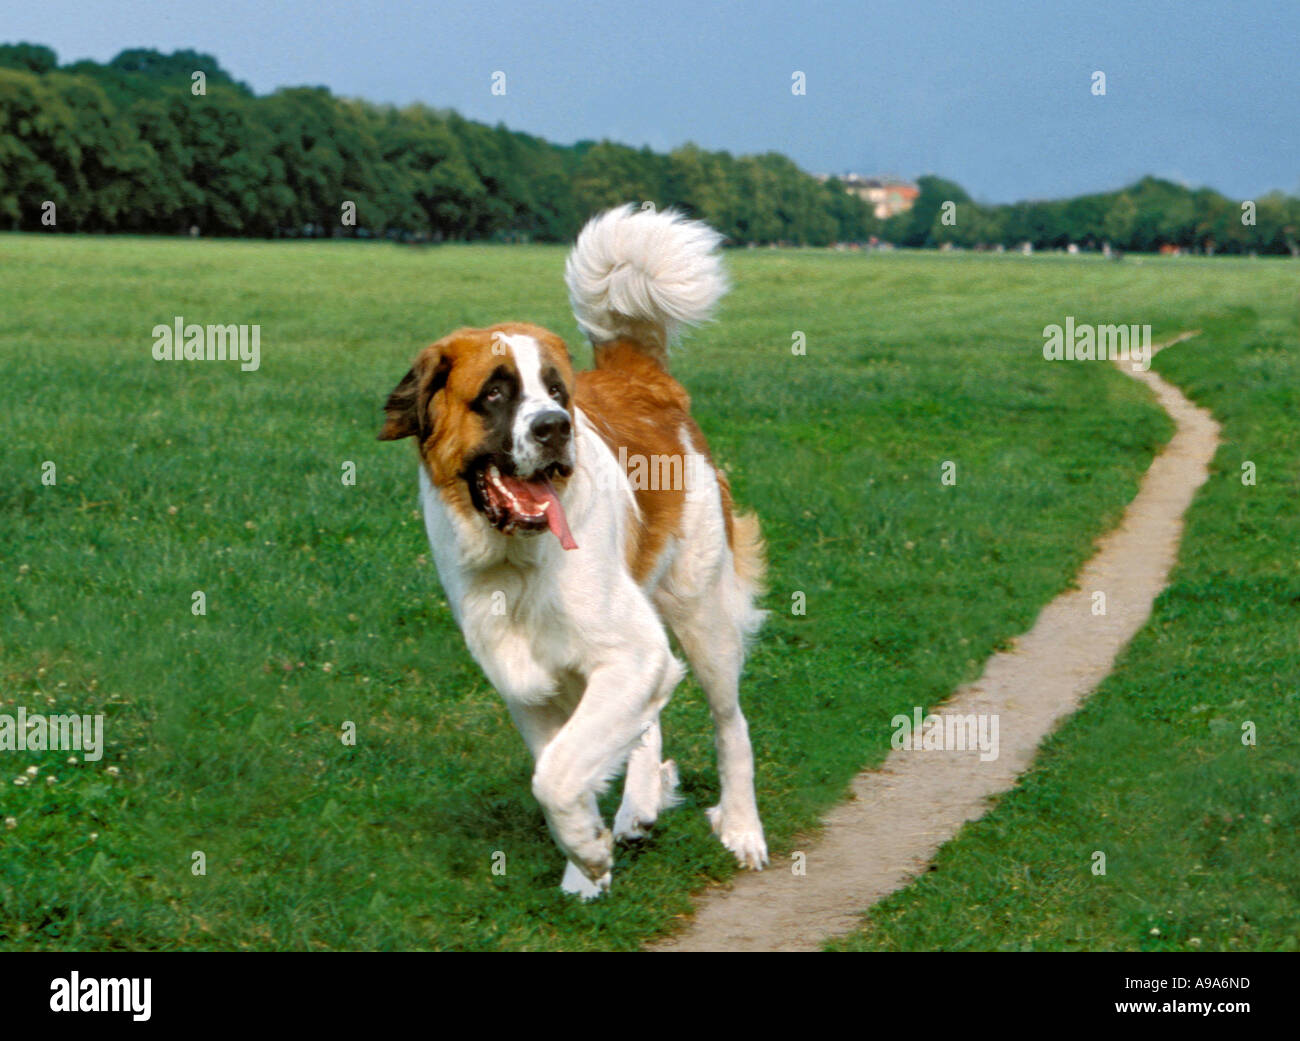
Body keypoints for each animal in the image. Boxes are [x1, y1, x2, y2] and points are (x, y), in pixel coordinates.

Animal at [384, 205, 764, 894]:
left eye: (557, 393)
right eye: (495, 393)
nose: (554, 428)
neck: (514, 560)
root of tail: (639, 376)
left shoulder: (628, 653)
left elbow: (557, 773)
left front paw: (587, 850)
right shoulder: (527, 682)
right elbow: (561, 763)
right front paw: (587, 866)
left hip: (703, 611)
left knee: (731, 724)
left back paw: (742, 828)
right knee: (649, 721)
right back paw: (639, 808)